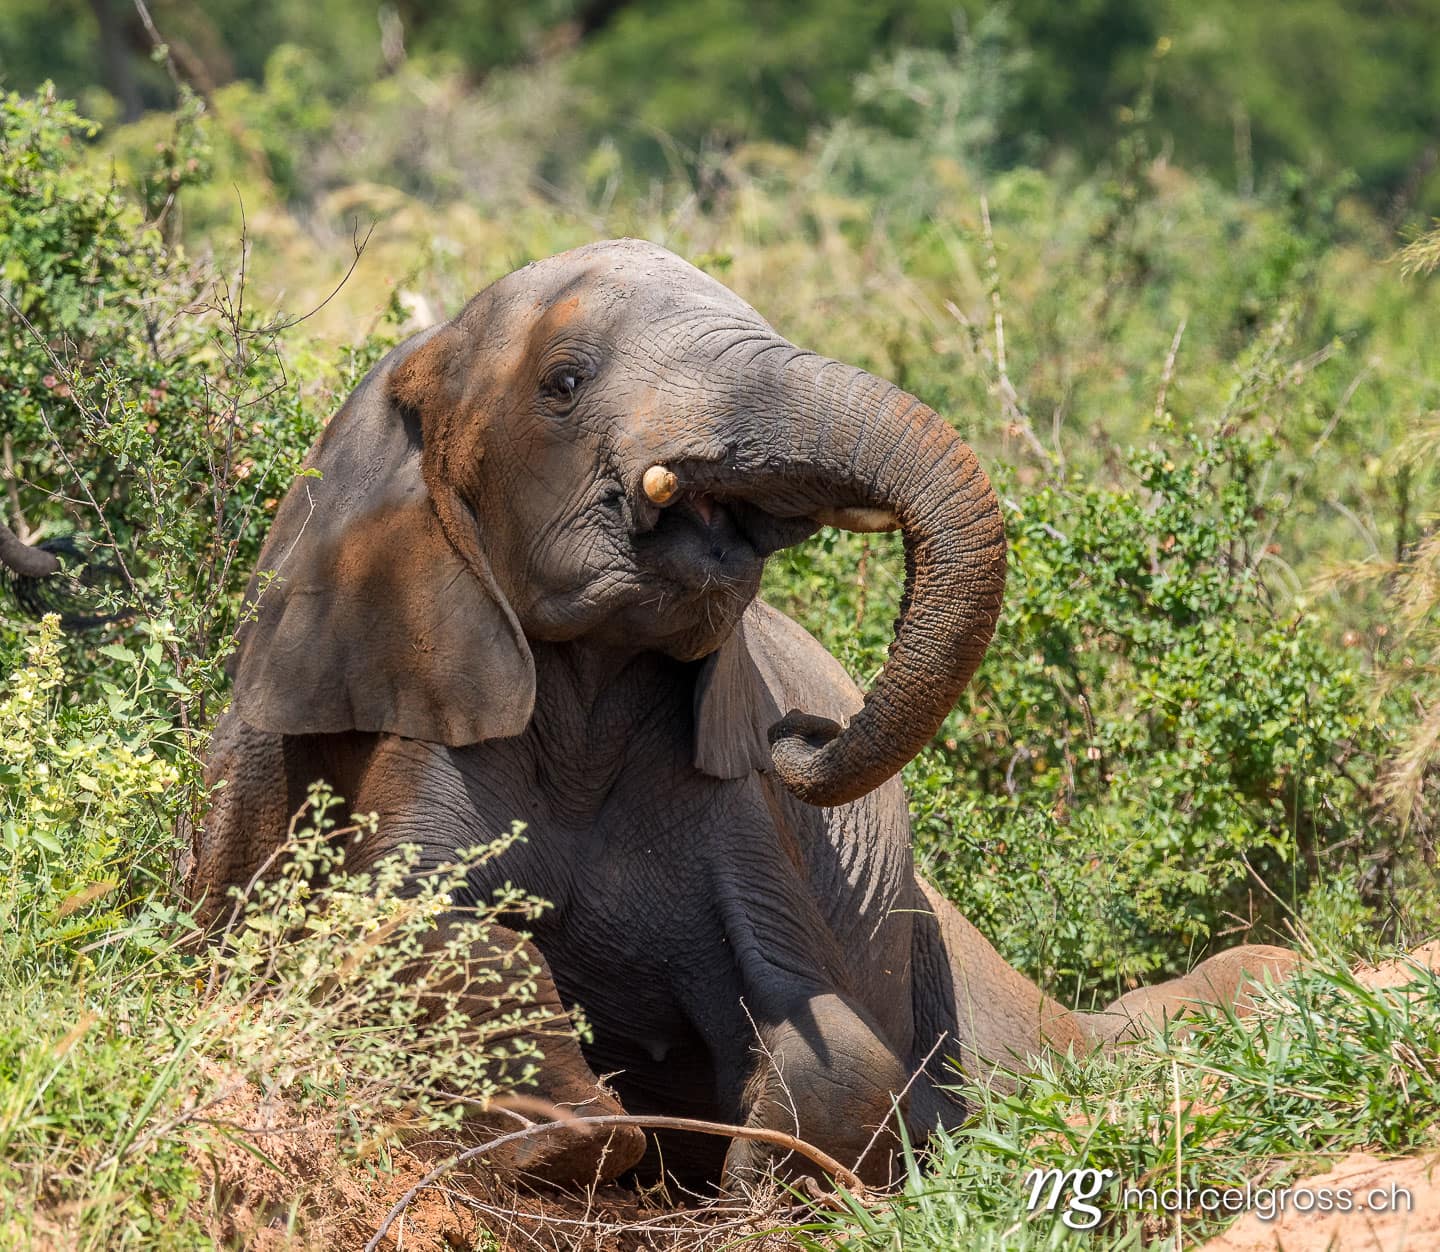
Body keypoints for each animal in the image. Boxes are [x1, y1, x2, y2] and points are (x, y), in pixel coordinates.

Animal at [188, 238, 1294, 1190]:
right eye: (564, 382)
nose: (799, 730)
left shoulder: (739, 800)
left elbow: (832, 1043)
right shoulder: (429, 698)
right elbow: (402, 929)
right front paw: (580, 1140)